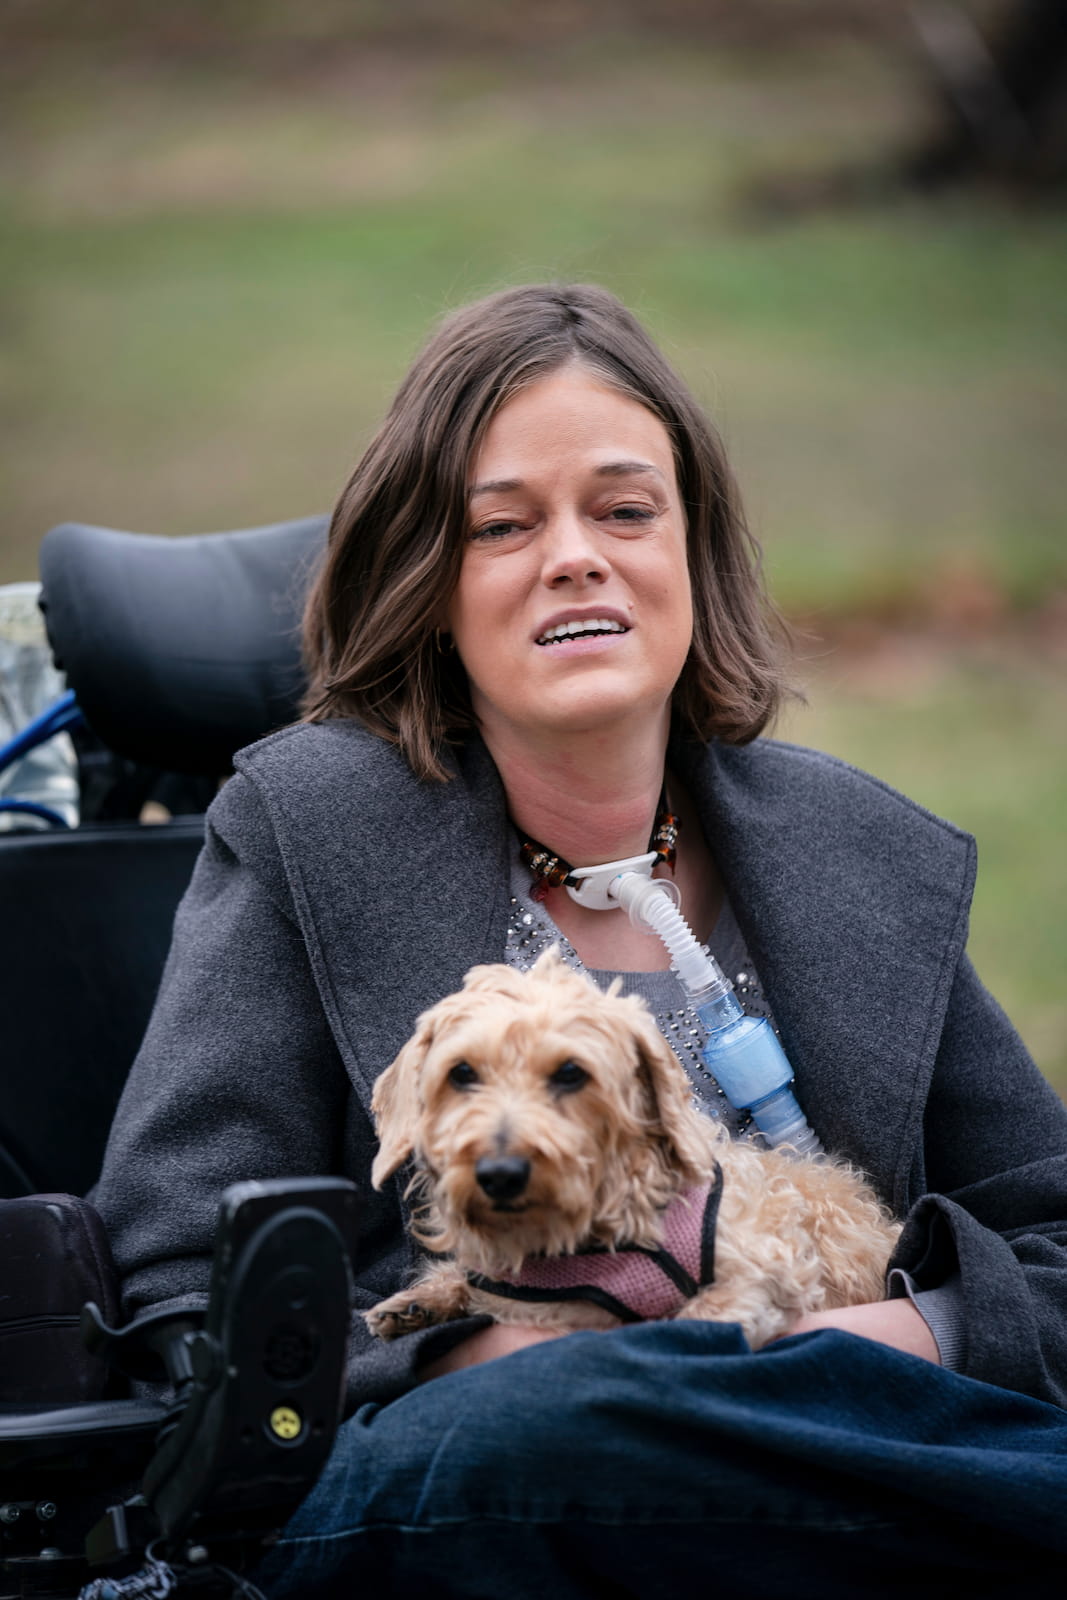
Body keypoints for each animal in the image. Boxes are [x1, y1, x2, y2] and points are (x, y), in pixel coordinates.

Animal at [367, 940, 902, 1344]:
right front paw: (423, 1299)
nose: (500, 1174)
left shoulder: (766, 1270)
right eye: (461, 1073)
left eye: (570, 1072)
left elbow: (700, 1317)